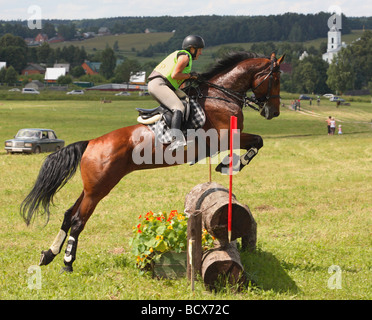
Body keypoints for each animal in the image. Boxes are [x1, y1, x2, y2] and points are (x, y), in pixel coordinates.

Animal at [21, 51, 284, 272]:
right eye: (277, 78)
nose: (274, 112)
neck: (221, 96)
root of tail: (92, 143)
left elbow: (257, 141)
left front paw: (228, 164)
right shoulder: (224, 137)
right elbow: (257, 141)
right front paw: (231, 164)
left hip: (91, 188)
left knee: (68, 215)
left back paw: (48, 255)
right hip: (99, 189)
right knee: (77, 221)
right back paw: (67, 263)